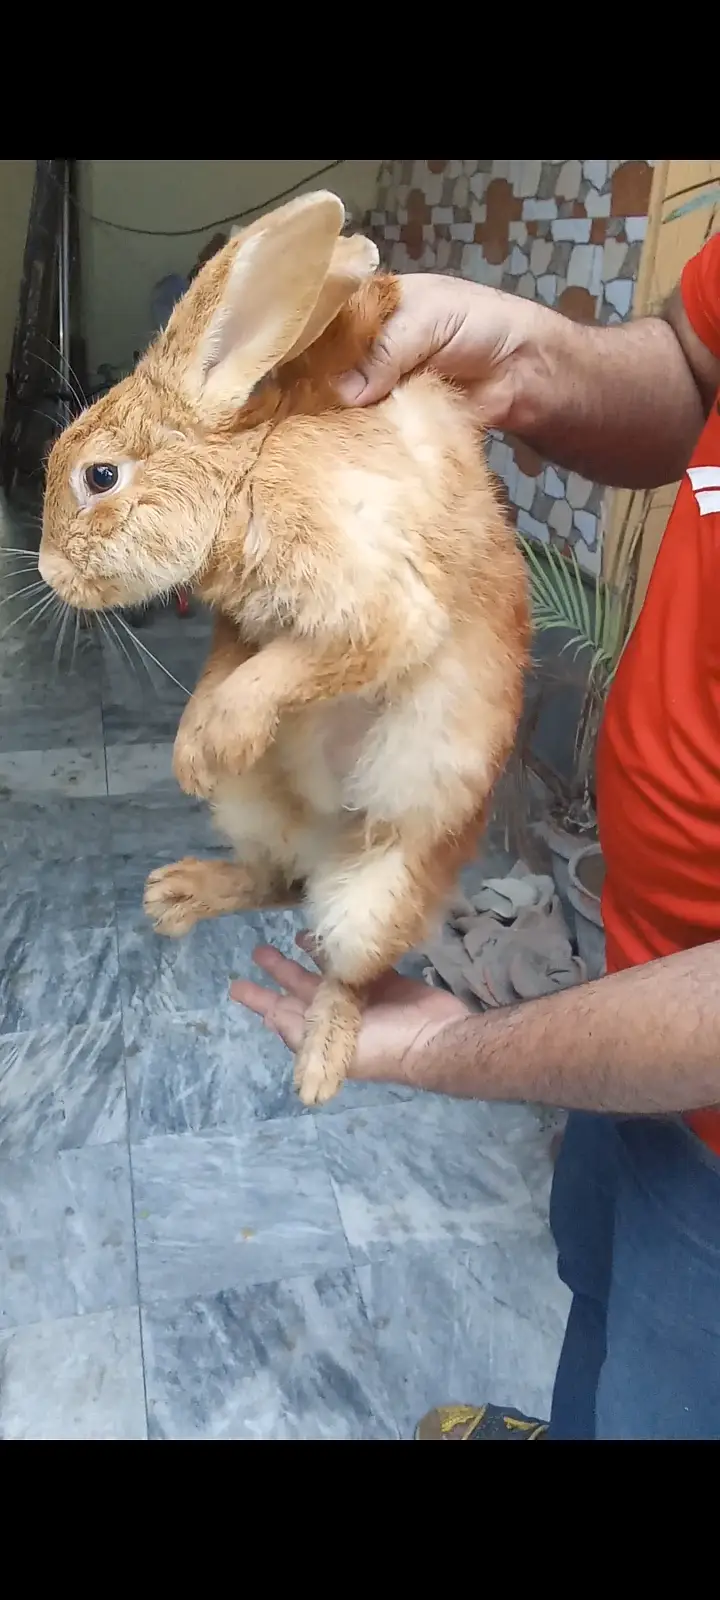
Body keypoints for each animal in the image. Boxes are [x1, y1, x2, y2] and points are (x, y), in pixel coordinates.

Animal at [39, 189, 530, 1106]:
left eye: (100, 477)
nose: (49, 572)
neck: (243, 470)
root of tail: (320, 848)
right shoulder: (242, 626)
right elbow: (226, 666)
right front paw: (191, 754)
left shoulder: (375, 605)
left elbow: (283, 671)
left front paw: (215, 741)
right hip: (255, 814)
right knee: (273, 882)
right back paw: (177, 894)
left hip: (378, 899)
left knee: (349, 969)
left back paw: (320, 1065)